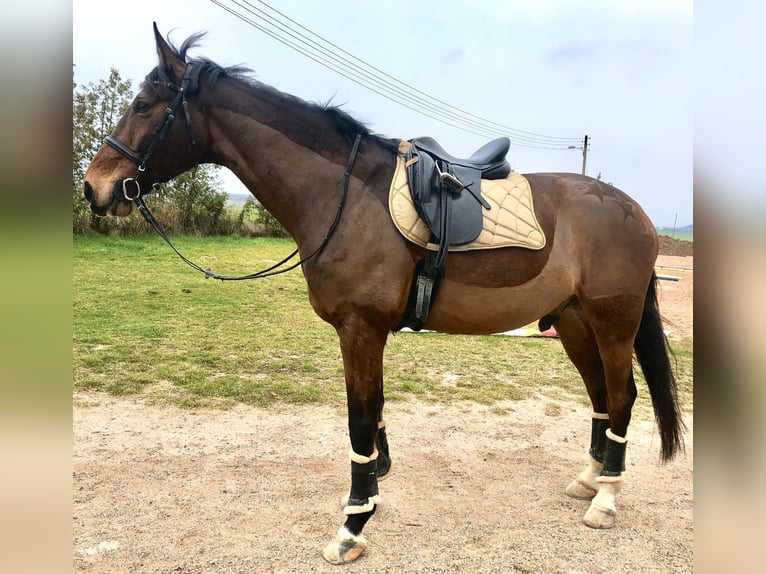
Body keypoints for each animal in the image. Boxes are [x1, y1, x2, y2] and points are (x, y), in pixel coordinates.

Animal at [82, 24, 684, 564]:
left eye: (142, 105)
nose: (94, 188)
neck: (344, 197)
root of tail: (635, 210)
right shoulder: (367, 333)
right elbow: (373, 413)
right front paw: (370, 489)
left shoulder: (360, 329)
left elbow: (358, 419)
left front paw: (353, 525)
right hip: (575, 321)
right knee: (603, 396)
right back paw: (590, 480)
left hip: (613, 323)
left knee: (623, 397)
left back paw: (606, 499)